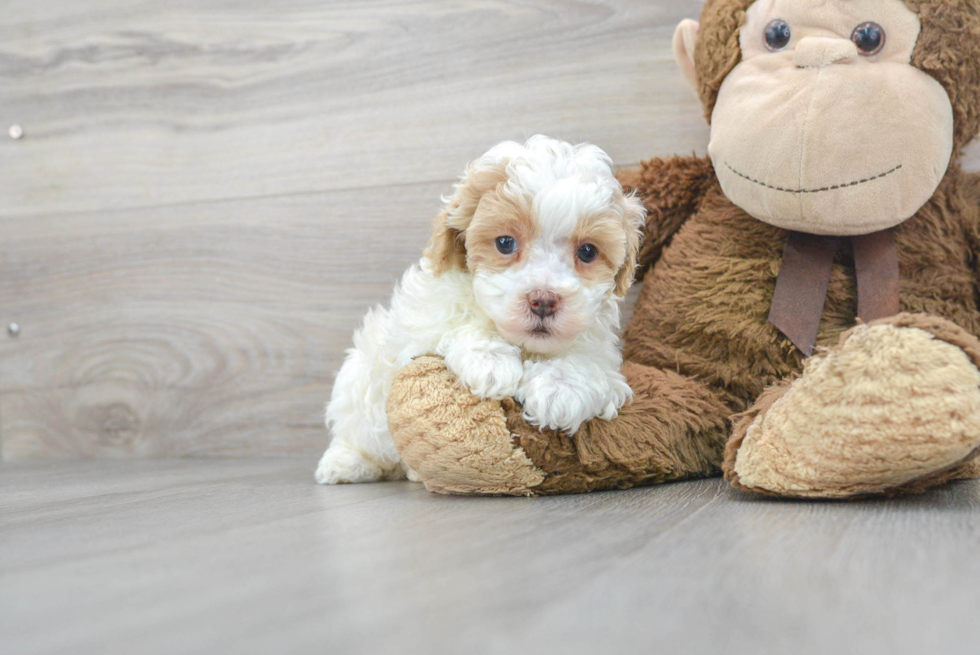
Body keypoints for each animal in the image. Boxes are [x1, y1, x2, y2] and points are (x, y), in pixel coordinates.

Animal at [318, 136, 648, 484]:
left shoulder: (603, 355)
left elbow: (586, 363)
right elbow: (456, 326)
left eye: (587, 251)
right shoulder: (422, 323)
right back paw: (344, 463)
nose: (543, 300)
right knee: (356, 428)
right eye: (505, 243)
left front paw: (560, 388)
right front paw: (490, 361)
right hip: (356, 382)